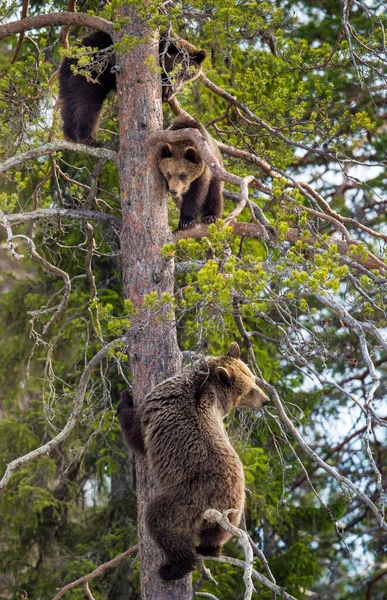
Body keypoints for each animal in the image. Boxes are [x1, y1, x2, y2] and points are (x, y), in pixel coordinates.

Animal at [58, 31, 208, 146]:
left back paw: (70, 134)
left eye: (188, 74)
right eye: (177, 70)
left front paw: (167, 94)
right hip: (90, 71)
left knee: (70, 104)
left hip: (68, 82)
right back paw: (89, 139)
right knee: (87, 103)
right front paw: (165, 90)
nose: (175, 87)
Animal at [118, 342, 270, 580]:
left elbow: (136, 435)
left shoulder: (156, 406)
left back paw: (174, 567)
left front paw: (126, 397)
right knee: (217, 534)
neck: (204, 388)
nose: (266, 400)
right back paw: (208, 549)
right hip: (234, 508)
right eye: (251, 386)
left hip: (188, 499)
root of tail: (218, 509)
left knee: (160, 521)